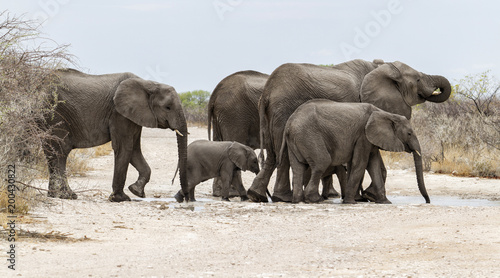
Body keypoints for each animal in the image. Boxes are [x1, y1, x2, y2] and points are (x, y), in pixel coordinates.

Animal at [41, 68, 188, 201]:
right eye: (168, 107)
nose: (180, 196)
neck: (148, 84)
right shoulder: (119, 113)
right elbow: (125, 148)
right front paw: (121, 198)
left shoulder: (132, 115)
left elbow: (134, 150)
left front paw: (136, 191)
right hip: (56, 115)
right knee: (61, 151)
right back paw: (68, 196)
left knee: (51, 151)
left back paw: (54, 195)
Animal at [282, 100, 430, 204]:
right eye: (409, 133)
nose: (427, 202)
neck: (386, 114)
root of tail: (289, 122)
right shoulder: (362, 136)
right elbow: (361, 163)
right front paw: (350, 202)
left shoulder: (371, 138)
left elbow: (373, 164)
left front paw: (385, 202)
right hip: (309, 136)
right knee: (322, 162)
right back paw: (315, 200)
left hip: (297, 139)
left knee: (298, 168)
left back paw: (298, 201)